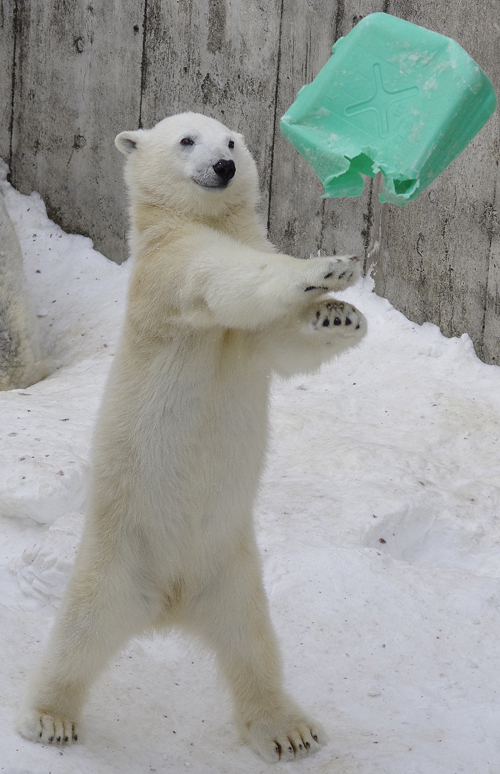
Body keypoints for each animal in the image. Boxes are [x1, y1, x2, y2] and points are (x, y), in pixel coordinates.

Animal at [17, 113, 368, 764]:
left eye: (230, 141)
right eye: (186, 140)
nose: (224, 167)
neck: (197, 219)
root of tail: (170, 602)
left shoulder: (248, 338)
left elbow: (284, 346)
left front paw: (339, 315)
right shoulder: (170, 271)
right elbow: (227, 279)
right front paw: (328, 268)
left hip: (232, 572)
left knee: (253, 647)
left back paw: (289, 730)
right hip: (118, 557)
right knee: (79, 632)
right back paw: (48, 717)